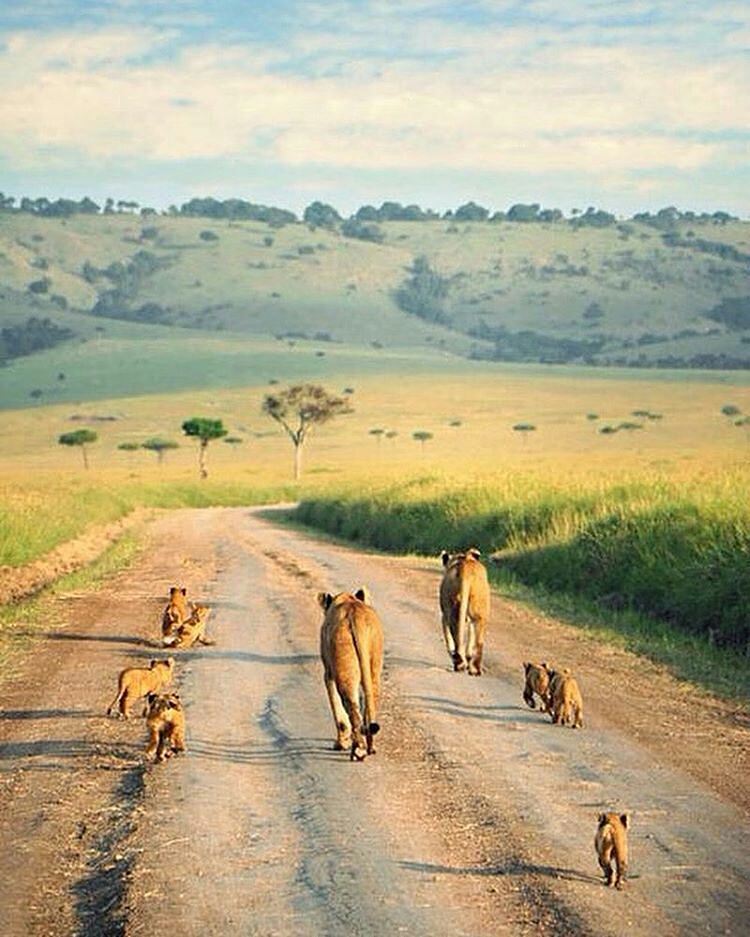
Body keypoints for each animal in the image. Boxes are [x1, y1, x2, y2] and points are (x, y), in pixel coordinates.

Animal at [318, 587, 384, 761]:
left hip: (344, 664)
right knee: (370, 701)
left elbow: (337, 708)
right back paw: (370, 747)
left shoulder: (328, 673)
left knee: (352, 707)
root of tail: (355, 613)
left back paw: (358, 750)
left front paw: (340, 744)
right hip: (374, 661)